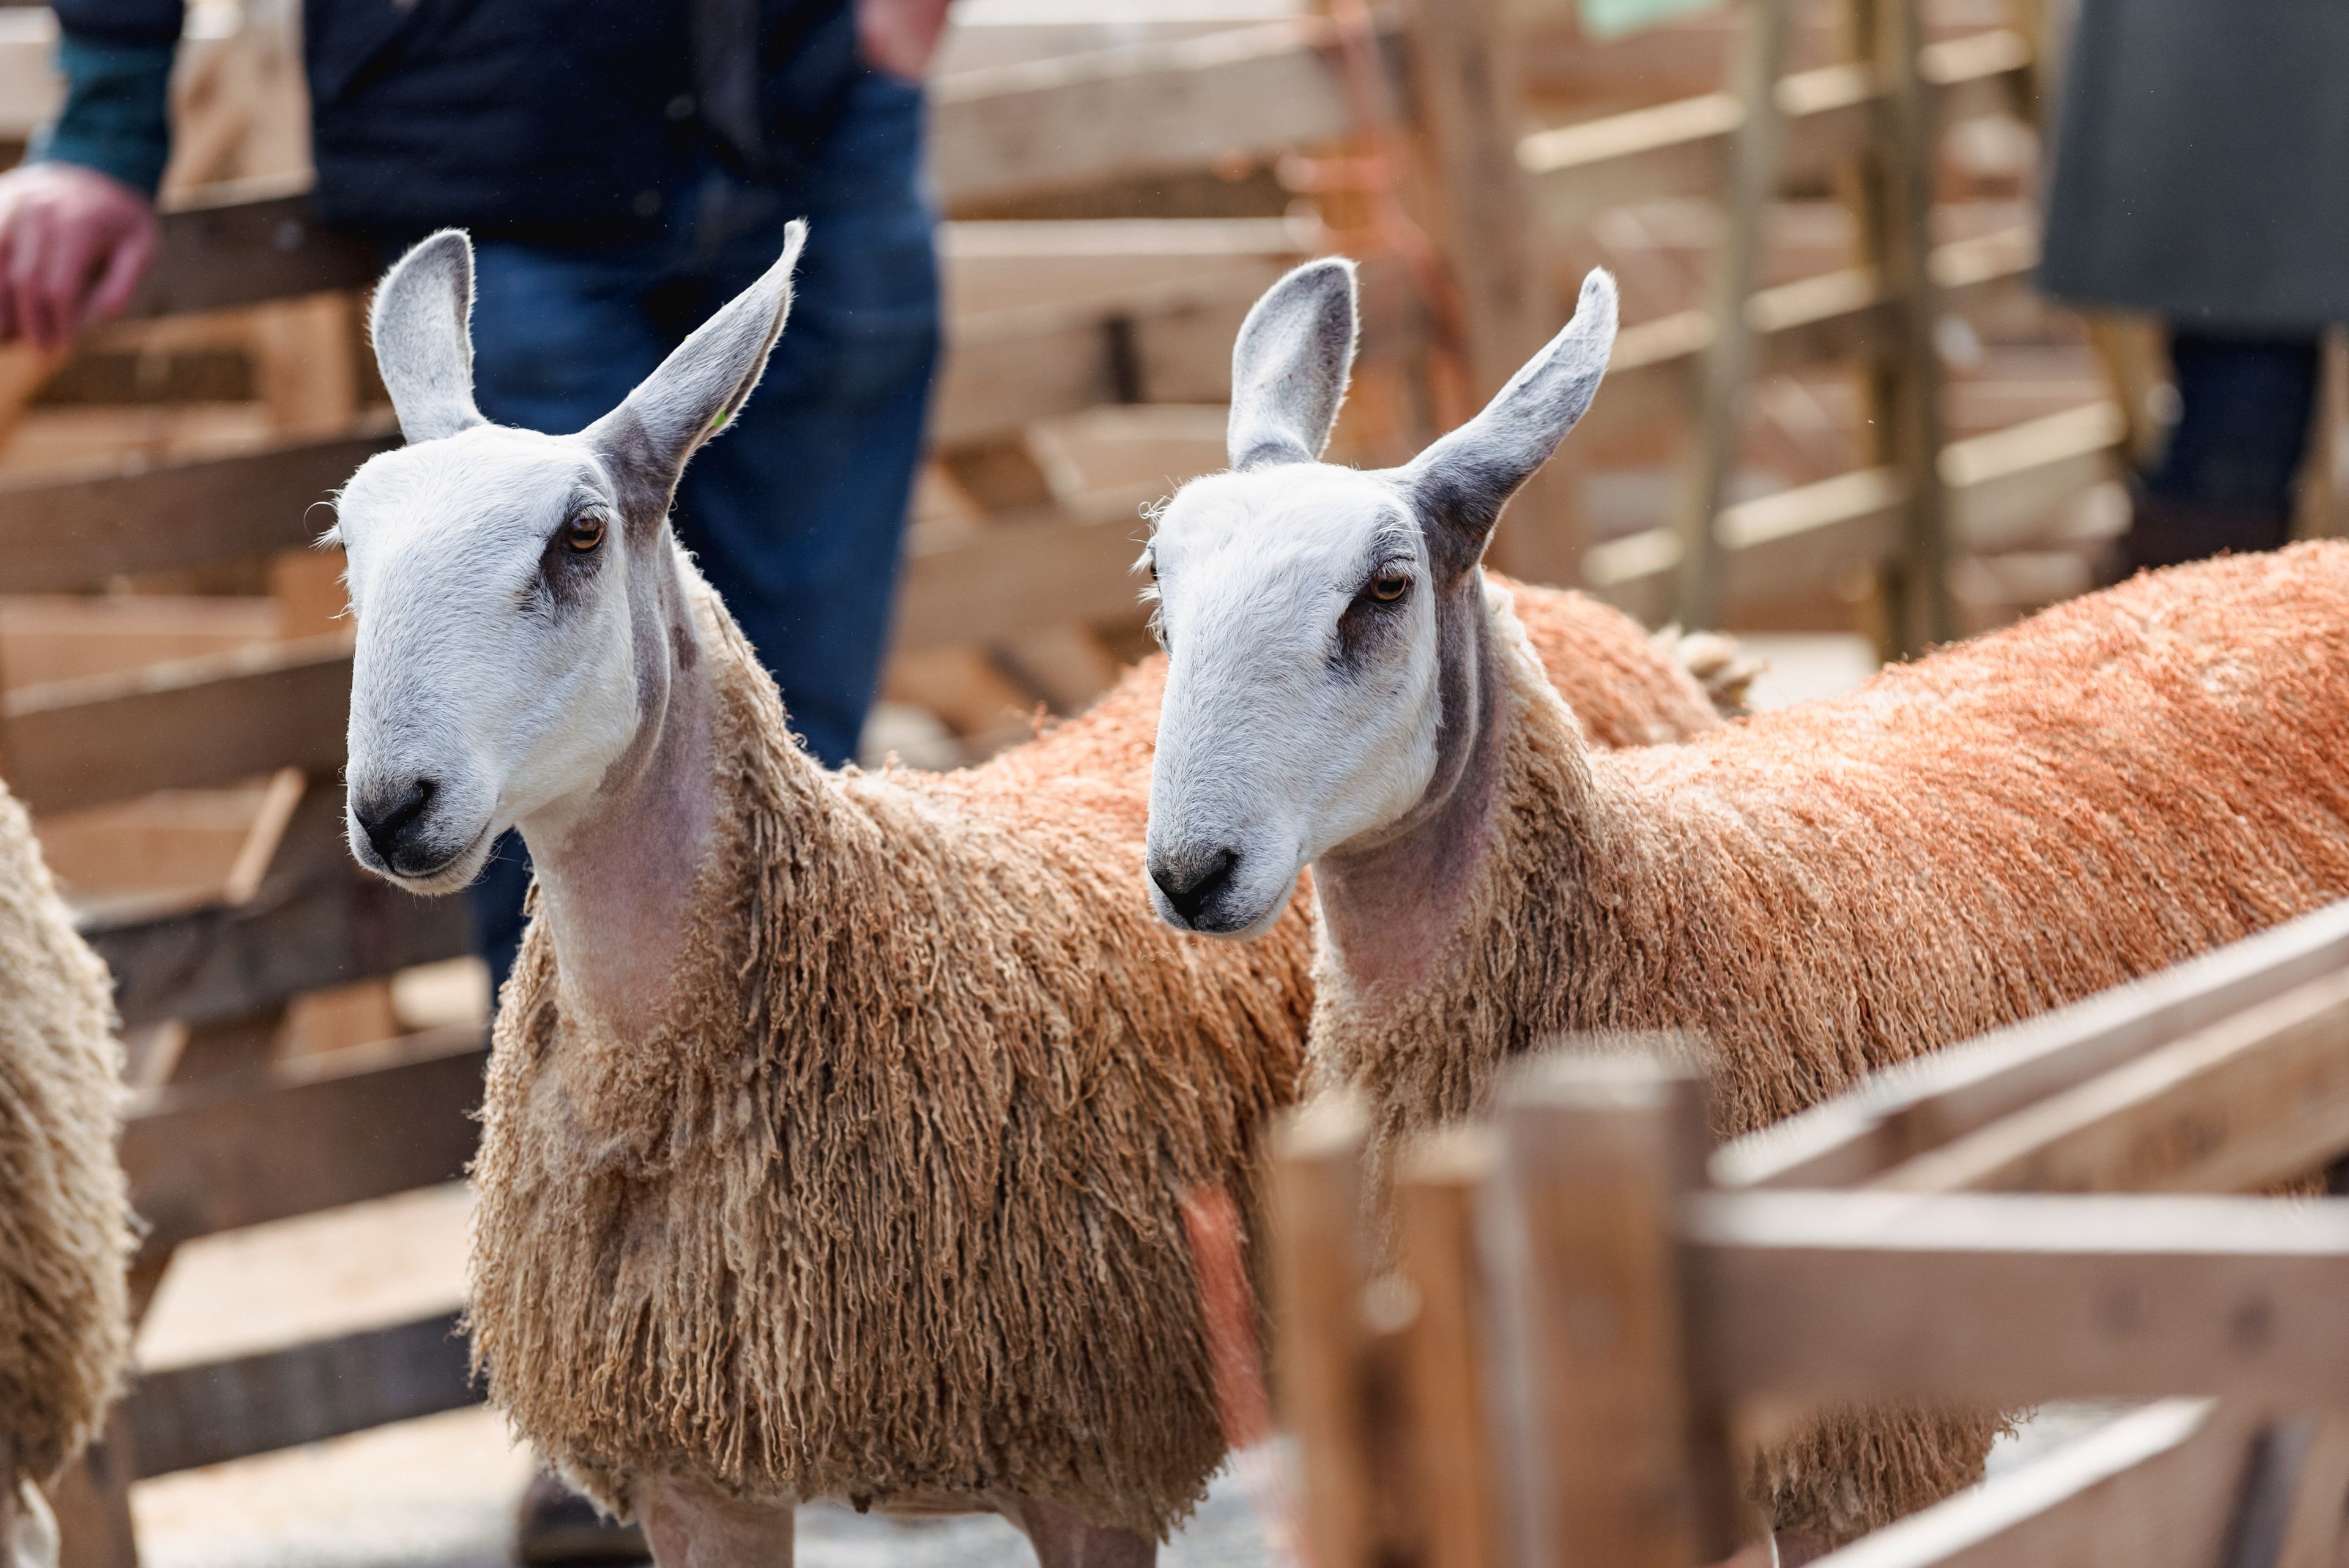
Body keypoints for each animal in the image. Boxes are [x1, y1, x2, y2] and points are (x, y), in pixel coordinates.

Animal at [328, 226, 1740, 1567]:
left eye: (579, 537)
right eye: (347, 543)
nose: (392, 805)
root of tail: (1606, 624)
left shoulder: (1088, 1459)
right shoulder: (698, 1477)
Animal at [1138, 258, 2349, 1556]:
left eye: (1386, 587)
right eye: (1159, 581)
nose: (1192, 869)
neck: (1646, 899)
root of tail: (2299, 556)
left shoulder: (1874, 1443)